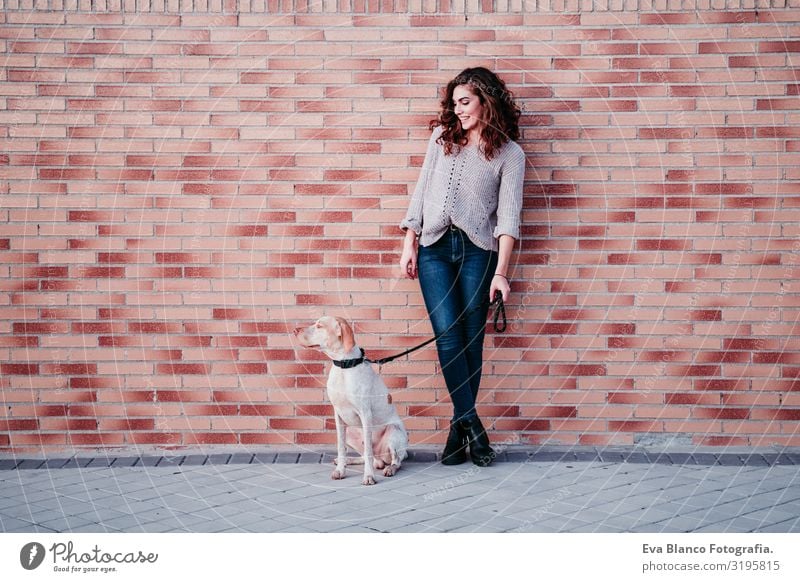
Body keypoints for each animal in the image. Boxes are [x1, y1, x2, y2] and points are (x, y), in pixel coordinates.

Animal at [292, 318, 406, 486]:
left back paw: (389, 469)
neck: (344, 367)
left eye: (319, 326)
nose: (295, 330)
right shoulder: (338, 415)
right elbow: (341, 447)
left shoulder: (365, 414)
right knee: (370, 459)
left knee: (394, 461)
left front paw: (369, 476)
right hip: (351, 431)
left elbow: (369, 452)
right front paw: (340, 470)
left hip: (394, 432)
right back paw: (349, 461)